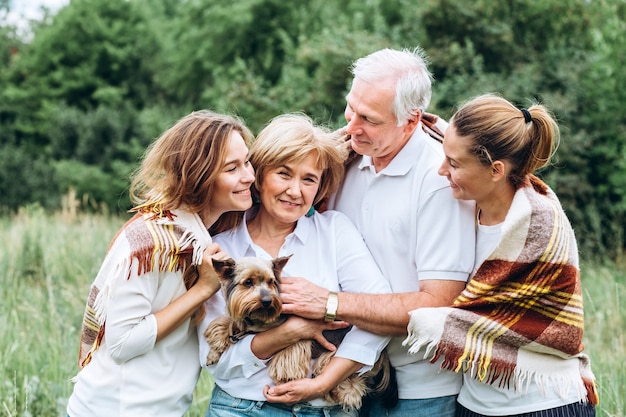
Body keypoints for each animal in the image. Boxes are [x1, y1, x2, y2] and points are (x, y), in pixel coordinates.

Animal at [202, 254, 394, 410]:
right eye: (248, 282)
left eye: (271, 282)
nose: (267, 301)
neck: (258, 317)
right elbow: (226, 323)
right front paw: (214, 350)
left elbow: (288, 356)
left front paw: (283, 379)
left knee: (351, 384)